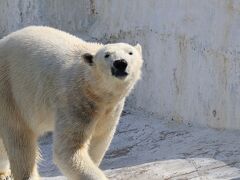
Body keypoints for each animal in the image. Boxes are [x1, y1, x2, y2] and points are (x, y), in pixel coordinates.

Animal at [0, 26, 142, 179]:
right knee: (19, 138)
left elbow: (99, 139)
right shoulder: (75, 101)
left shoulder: (110, 109)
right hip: (10, 90)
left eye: (130, 52)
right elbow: (70, 149)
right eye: (107, 55)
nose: (120, 63)